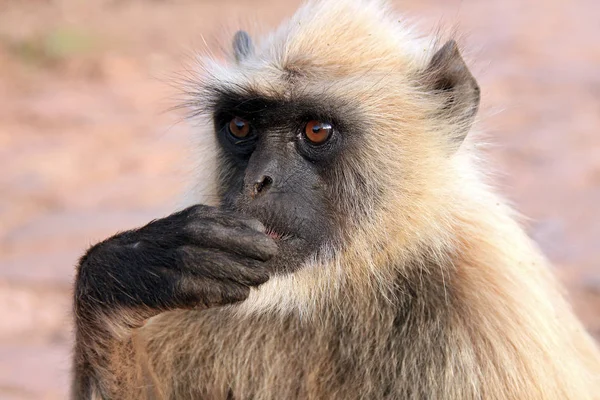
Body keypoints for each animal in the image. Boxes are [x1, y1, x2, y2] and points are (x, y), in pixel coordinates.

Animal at [71, 0, 600, 398]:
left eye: (316, 130)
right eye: (240, 126)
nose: (257, 181)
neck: (347, 285)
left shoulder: (489, 308)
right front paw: (129, 270)